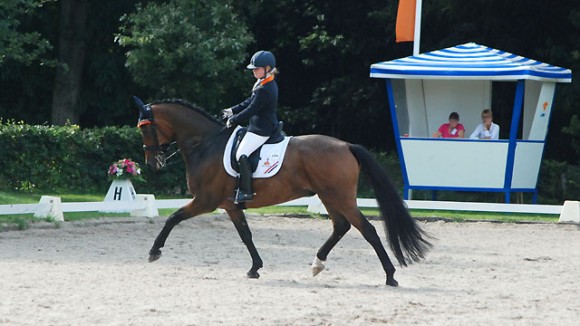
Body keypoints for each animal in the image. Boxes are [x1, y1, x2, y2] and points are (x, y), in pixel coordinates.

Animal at [135, 97, 430, 288]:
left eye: (146, 128)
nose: (152, 163)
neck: (206, 144)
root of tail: (346, 145)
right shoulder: (230, 205)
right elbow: (246, 235)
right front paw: (255, 268)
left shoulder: (205, 201)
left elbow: (172, 218)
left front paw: (154, 252)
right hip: (328, 196)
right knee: (341, 227)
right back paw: (317, 264)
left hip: (340, 197)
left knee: (367, 230)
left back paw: (390, 276)